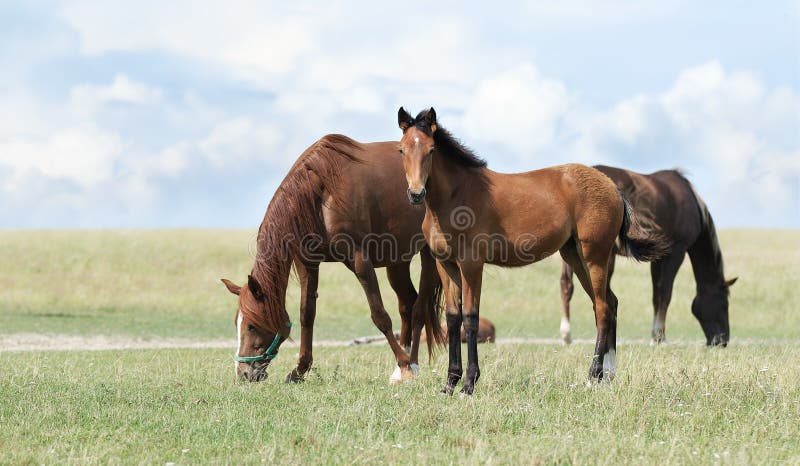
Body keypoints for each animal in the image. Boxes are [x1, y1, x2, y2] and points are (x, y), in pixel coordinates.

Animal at [220, 133, 444, 384]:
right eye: (236, 323)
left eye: (251, 326)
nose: (243, 373)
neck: (321, 193)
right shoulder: (308, 263)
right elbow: (307, 315)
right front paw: (299, 370)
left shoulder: (360, 261)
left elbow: (380, 315)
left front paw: (405, 363)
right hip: (397, 262)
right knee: (407, 304)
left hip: (429, 256)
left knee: (419, 309)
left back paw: (411, 364)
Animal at [396, 107, 668, 396]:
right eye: (401, 149)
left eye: (431, 149)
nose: (416, 193)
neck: (455, 198)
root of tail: (612, 187)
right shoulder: (445, 264)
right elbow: (453, 318)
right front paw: (450, 383)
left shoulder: (471, 264)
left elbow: (470, 317)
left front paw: (469, 384)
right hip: (575, 256)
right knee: (608, 303)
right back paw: (608, 375)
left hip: (595, 256)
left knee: (604, 308)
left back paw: (593, 375)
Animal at [556, 165, 736, 346]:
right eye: (724, 304)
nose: (723, 340)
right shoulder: (675, 253)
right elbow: (665, 293)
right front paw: (659, 337)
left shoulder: (659, 259)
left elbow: (656, 294)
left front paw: (657, 336)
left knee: (567, 285)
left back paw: (567, 335)